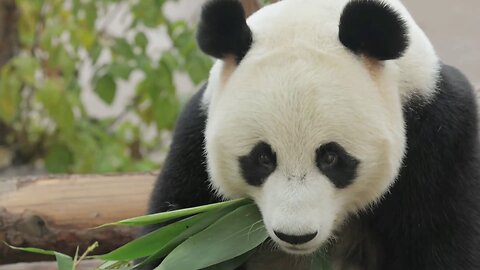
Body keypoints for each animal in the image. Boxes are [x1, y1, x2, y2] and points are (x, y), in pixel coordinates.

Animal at [142, 0, 480, 268]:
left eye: (331, 157)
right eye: (262, 158)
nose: (295, 235)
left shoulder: (438, 137)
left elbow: (439, 238)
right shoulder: (194, 140)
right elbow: (174, 228)